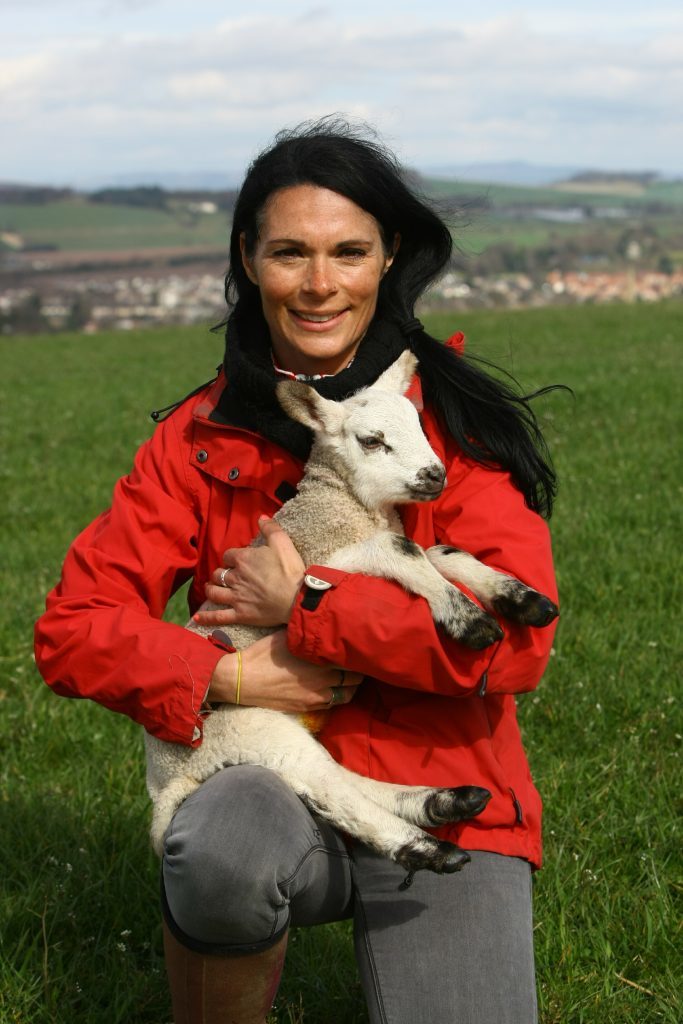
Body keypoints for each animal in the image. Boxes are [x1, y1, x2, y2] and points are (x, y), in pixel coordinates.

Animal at [144, 348, 557, 876]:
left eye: (420, 425)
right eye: (371, 440)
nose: (435, 475)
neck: (341, 507)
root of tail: (165, 784)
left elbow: (442, 552)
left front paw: (523, 600)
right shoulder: (324, 561)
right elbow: (404, 548)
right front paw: (471, 621)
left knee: (338, 775)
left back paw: (444, 802)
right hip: (245, 731)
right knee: (330, 791)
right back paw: (428, 847)